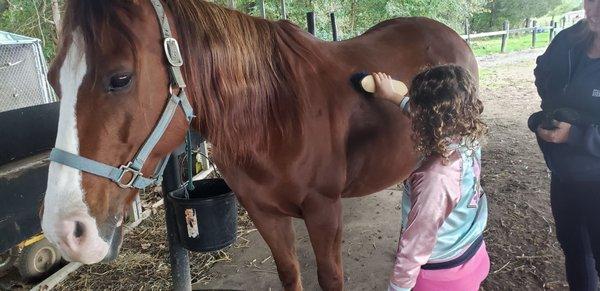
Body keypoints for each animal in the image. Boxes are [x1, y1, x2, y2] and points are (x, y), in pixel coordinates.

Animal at [39, 1, 476, 290]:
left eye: (120, 78)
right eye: (54, 77)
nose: (65, 231)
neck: (275, 111)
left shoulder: (324, 210)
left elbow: (330, 277)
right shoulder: (263, 212)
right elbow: (289, 274)